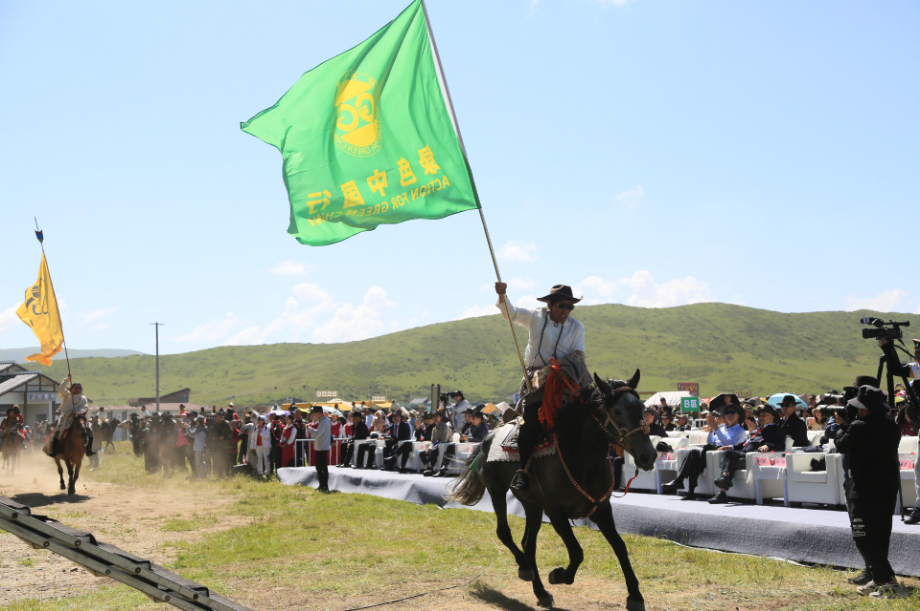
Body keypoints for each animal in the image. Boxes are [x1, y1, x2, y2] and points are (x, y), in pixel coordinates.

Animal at [450, 370, 656, 608]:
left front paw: (635, 596)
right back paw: (525, 568)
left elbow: (620, 546)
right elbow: (577, 552)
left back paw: (540, 591)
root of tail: (488, 437)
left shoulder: (601, 509)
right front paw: (558, 575)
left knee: (528, 544)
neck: (580, 457)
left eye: (642, 408)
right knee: (505, 533)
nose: (648, 455)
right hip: (497, 490)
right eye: (617, 411)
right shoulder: (556, 512)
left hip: (531, 505)